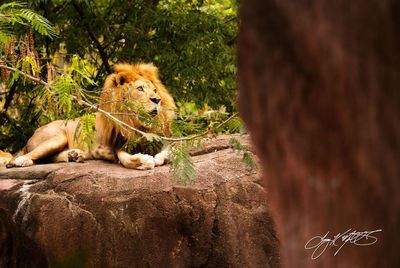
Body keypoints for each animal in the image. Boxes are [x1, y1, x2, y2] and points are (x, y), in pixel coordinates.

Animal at [3, 62, 175, 170]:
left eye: (155, 90)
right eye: (140, 89)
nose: (157, 100)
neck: (139, 125)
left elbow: (169, 152)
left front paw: (159, 157)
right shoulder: (118, 145)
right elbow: (126, 160)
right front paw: (143, 161)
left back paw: (74, 155)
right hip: (57, 137)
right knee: (16, 159)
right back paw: (22, 161)